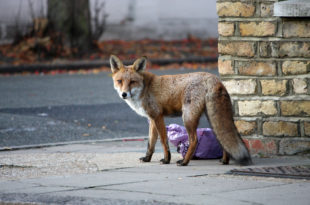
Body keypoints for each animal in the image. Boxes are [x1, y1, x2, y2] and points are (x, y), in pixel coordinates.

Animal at [109, 55, 252, 166]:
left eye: (132, 82)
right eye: (119, 81)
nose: (124, 94)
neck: (144, 89)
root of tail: (213, 78)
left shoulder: (158, 116)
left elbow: (163, 140)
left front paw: (166, 159)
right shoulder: (152, 119)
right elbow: (151, 143)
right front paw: (147, 158)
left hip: (187, 117)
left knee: (194, 140)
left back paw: (184, 162)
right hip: (210, 117)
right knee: (222, 138)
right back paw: (224, 161)